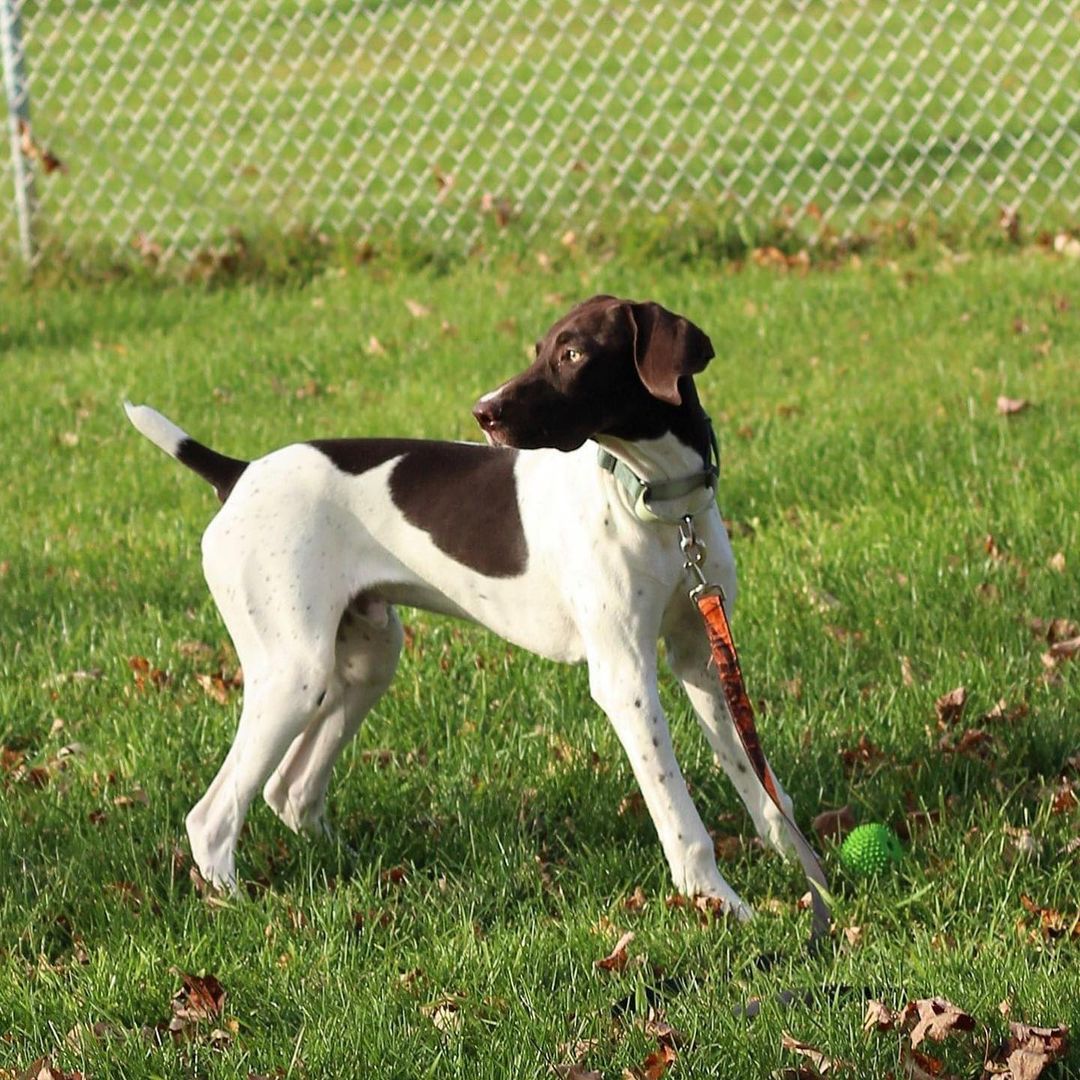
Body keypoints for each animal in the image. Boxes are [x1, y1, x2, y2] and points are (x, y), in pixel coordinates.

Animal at [128, 298, 794, 920]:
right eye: (541, 349)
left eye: (573, 353)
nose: (483, 412)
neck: (658, 505)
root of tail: (239, 474)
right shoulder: (624, 679)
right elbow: (679, 814)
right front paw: (717, 901)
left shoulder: (700, 658)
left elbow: (754, 776)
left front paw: (795, 860)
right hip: (294, 674)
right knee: (211, 817)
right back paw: (237, 903)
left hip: (366, 661)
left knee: (289, 789)